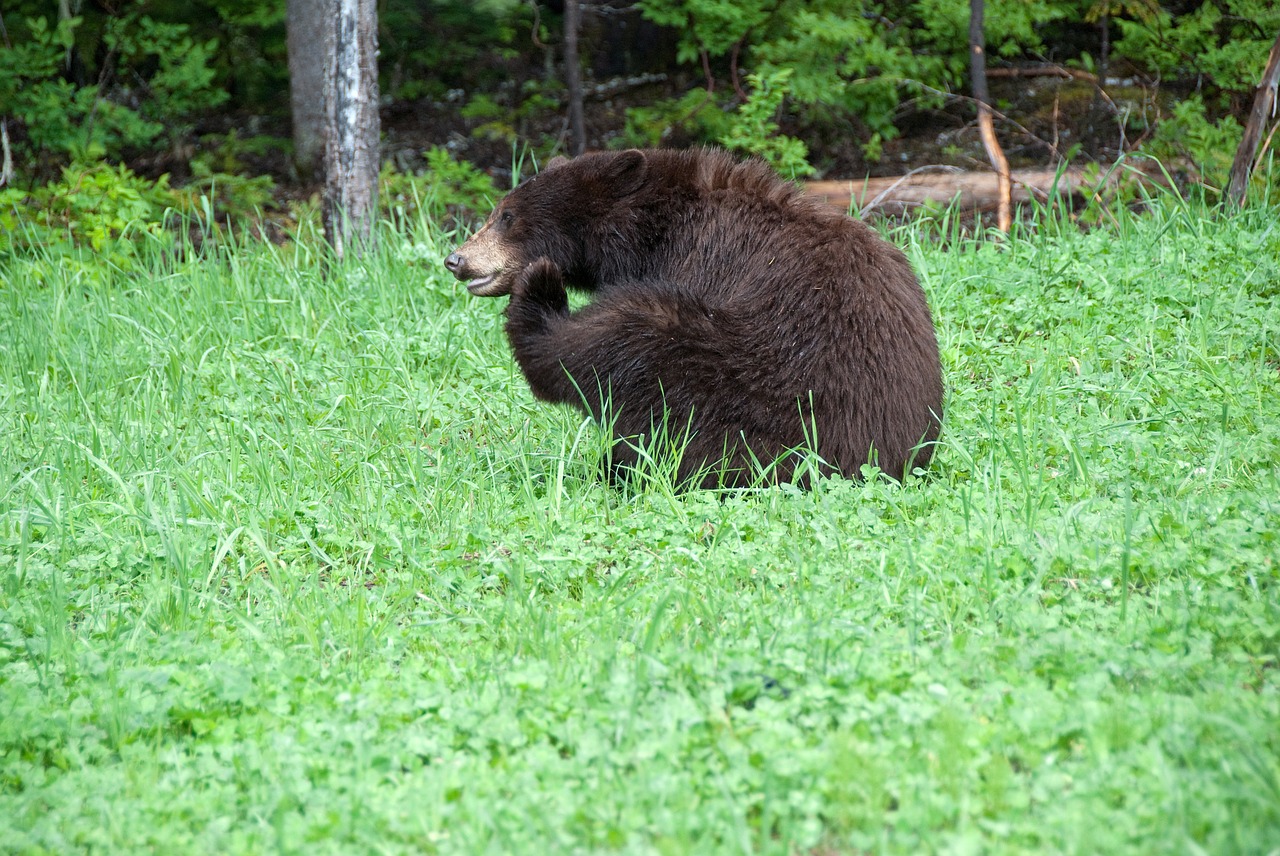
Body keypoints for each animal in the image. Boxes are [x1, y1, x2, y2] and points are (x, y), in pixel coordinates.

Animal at [445, 148, 947, 486]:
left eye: (506, 215)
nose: (456, 259)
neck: (653, 231)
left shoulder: (695, 264)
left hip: (756, 389)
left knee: (628, 336)